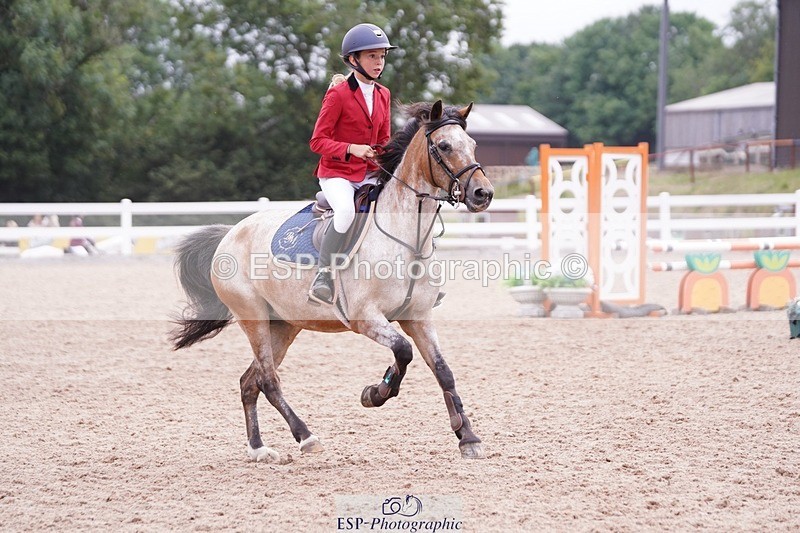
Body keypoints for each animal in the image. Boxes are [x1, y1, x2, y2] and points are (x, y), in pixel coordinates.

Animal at [170, 100, 494, 460]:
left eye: (473, 145)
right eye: (444, 146)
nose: (483, 194)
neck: (407, 240)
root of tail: (230, 233)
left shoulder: (418, 318)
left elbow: (442, 371)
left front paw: (468, 438)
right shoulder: (365, 318)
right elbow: (403, 351)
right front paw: (376, 392)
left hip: (283, 325)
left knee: (249, 381)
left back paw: (258, 448)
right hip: (252, 318)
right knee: (268, 380)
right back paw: (306, 436)